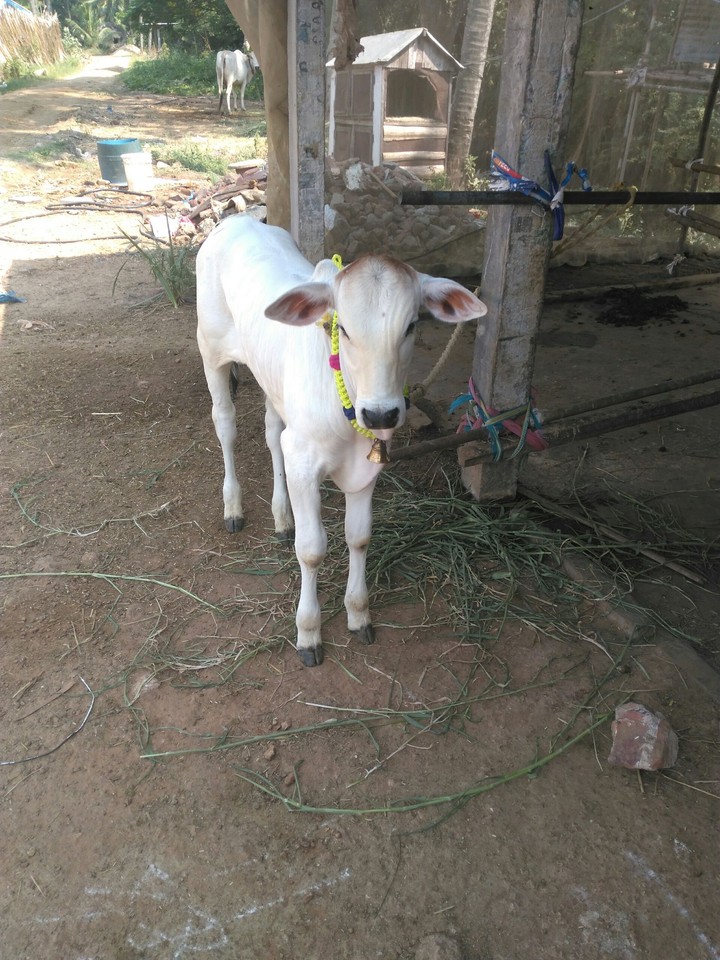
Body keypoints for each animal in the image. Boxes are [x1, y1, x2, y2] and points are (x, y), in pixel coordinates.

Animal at [195, 215, 487, 666]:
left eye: (411, 325)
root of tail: (237, 219)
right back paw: (234, 507)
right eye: (343, 329)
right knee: (225, 426)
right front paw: (308, 632)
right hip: (211, 351)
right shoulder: (304, 464)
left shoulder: (367, 467)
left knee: (272, 433)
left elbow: (359, 536)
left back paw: (282, 516)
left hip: (271, 382)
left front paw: (358, 613)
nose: (381, 413)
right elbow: (312, 549)